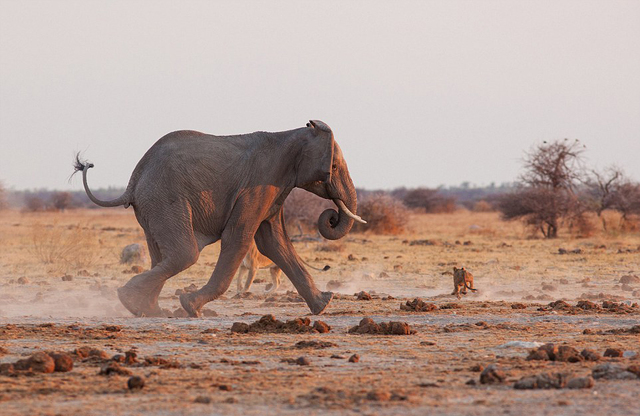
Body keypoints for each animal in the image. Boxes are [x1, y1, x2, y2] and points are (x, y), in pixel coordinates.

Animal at [74, 120, 364, 318]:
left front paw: (324, 305)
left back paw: (148, 310)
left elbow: (274, 241)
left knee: (163, 257)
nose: (330, 217)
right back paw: (131, 301)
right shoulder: (258, 184)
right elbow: (240, 237)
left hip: (151, 206)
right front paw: (191, 307)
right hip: (164, 199)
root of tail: (133, 181)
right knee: (185, 254)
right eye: (333, 167)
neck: (293, 133)